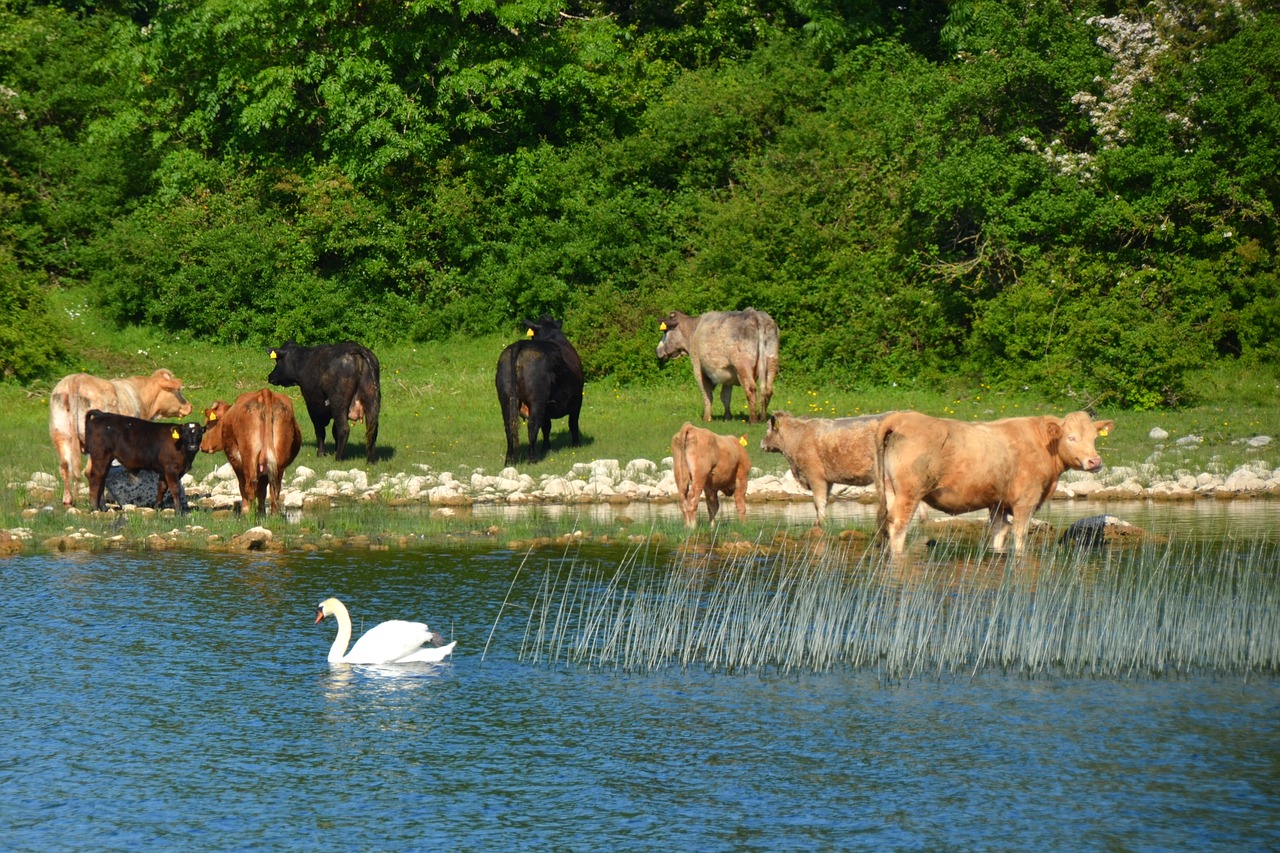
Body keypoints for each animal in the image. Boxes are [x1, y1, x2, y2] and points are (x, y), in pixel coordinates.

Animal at [48, 366, 192, 504]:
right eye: (178, 390)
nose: (189, 406)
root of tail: (76, 379)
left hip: (61, 434)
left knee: (65, 466)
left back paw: (68, 500)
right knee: (92, 472)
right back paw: (100, 504)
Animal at [494, 317, 586, 466]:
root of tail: (520, 344)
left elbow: (546, 426)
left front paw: (546, 447)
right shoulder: (577, 400)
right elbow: (572, 423)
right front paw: (576, 444)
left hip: (506, 398)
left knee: (509, 425)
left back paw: (510, 460)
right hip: (537, 399)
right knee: (533, 425)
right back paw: (532, 459)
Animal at [757, 409, 890, 522]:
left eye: (768, 427)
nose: (761, 443)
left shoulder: (815, 477)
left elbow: (819, 504)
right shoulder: (827, 480)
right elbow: (824, 503)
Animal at [875, 409, 1116, 555]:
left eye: (1094, 438)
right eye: (1071, 437)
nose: (1095, 461)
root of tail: (903, 417)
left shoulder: (998, 503)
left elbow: (999, 531)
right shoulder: (1025, 501)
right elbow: (1020, 533)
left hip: (890, 488)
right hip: (910, 492)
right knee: (899, 523)